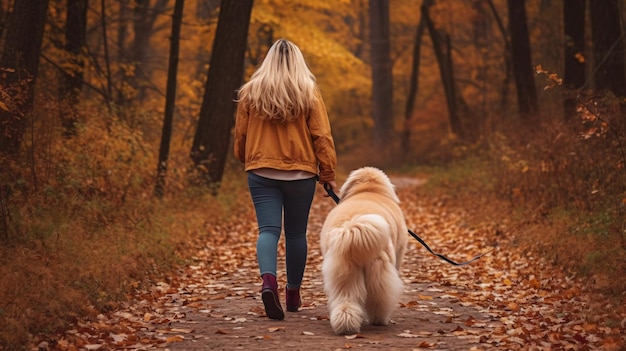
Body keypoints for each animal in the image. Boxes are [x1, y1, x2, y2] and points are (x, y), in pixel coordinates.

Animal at [320, 168, 408, 336]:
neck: (368, 190)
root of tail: (351, 232)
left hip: (344, 273)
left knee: (346, 301)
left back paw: (345, 325)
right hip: (378, 271)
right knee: (379, 300)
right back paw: (379, 320)